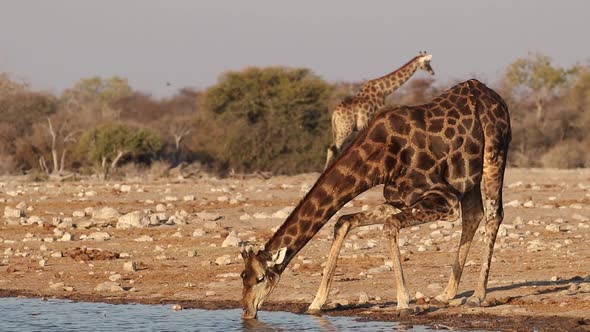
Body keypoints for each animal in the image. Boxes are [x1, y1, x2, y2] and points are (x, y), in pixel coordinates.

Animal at [240, 78, 512, 320]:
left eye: (261, 278)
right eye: (243, 277)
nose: (246, 311)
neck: (380, 160)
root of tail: (497, 98)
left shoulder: (444, 199)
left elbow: (390, 225)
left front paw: (404, 304)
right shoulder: (398, 199)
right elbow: (344, 221)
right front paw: (316, 303)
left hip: (494, 155)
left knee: (493, 215)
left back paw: (477, 296)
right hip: (467, 178)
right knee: (474, 214)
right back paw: (446, 294)